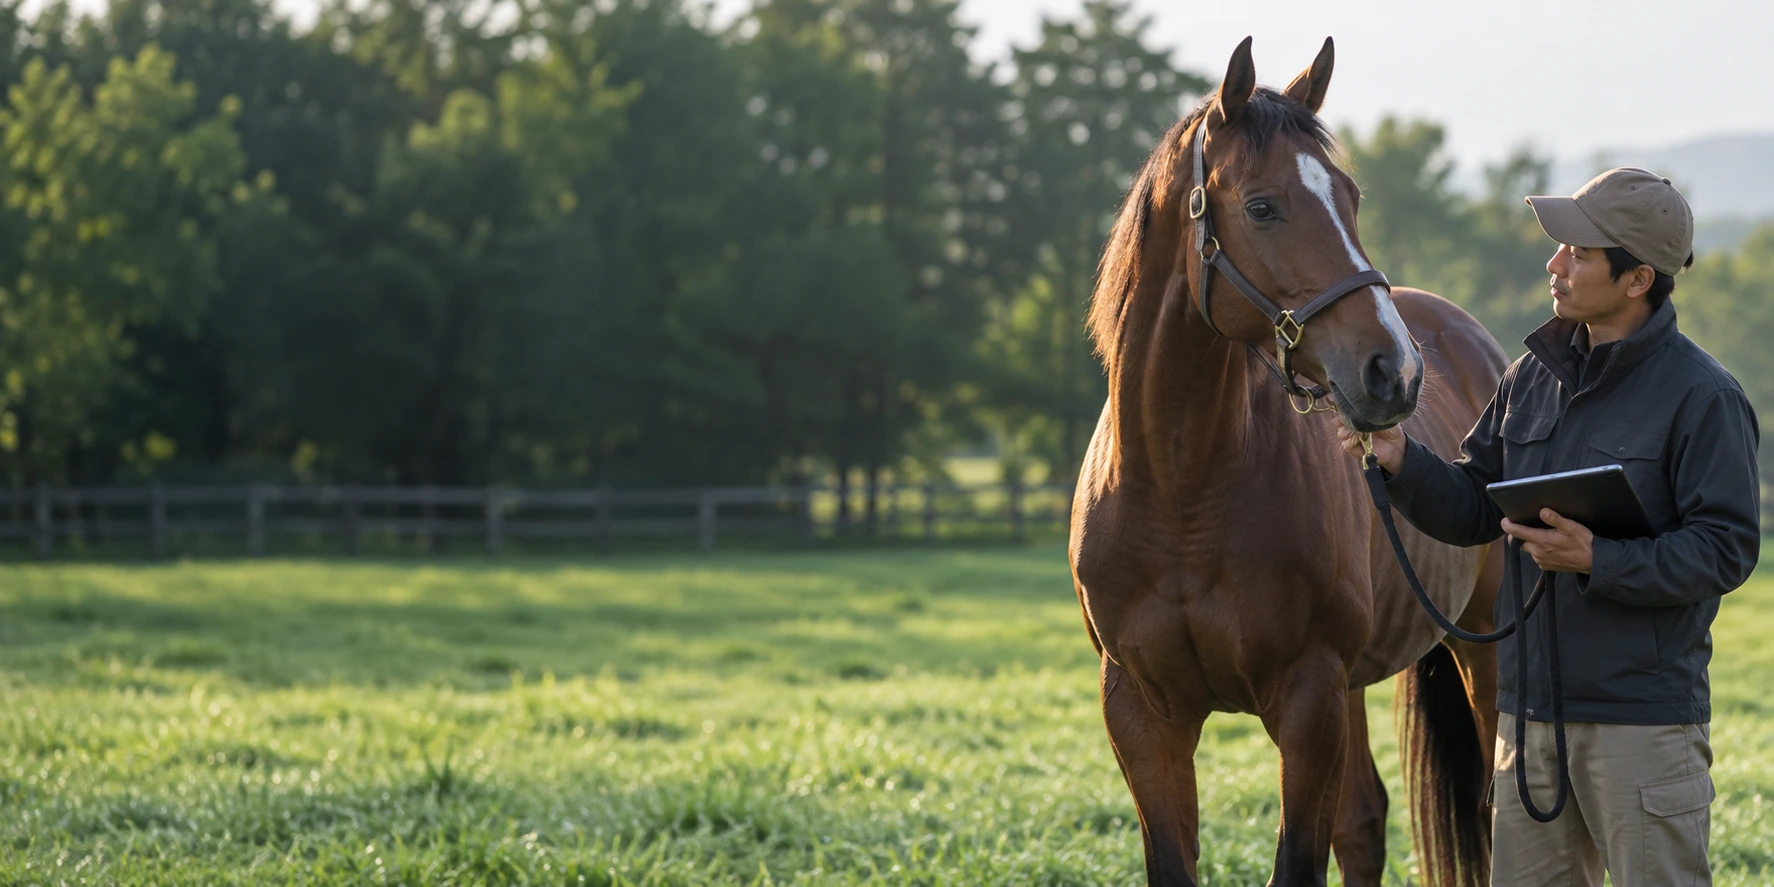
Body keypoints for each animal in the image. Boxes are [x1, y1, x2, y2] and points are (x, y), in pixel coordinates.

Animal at [1068, 37, 1511, 887]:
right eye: (1262, 206)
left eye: (1351, 197)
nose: (1394, 371)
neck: (1180, 490)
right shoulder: (1140, 711)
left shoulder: (1307, 699)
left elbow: (1299, 860)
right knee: (1366, 822)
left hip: (1481, 648)